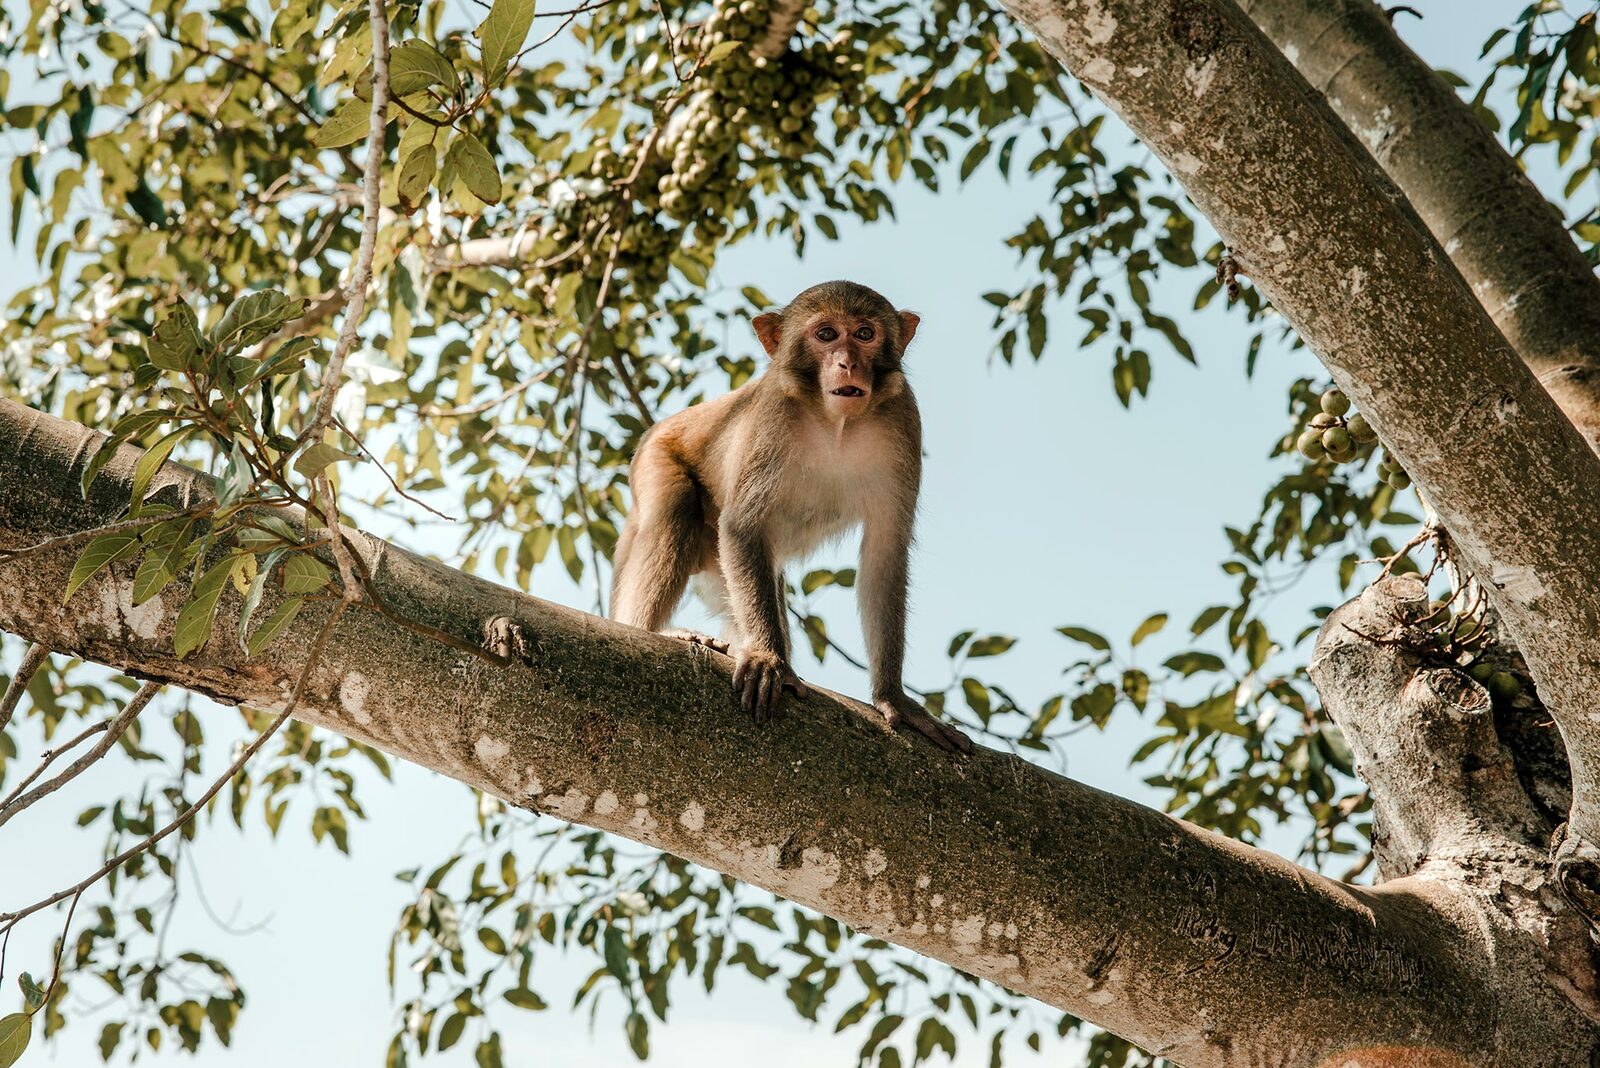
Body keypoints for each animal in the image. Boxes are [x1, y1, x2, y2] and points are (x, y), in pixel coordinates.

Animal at [604, 279, 966, 754]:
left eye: (864, 334)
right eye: (826, 335)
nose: (848, 363)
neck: (836, 425)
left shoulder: (904, 419)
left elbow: (885, 554)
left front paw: (895, 699)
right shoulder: (773, 414)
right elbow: (742, 527)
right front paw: (766, 658)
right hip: (654, 460)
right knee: (675, 510)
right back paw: (653, 631)